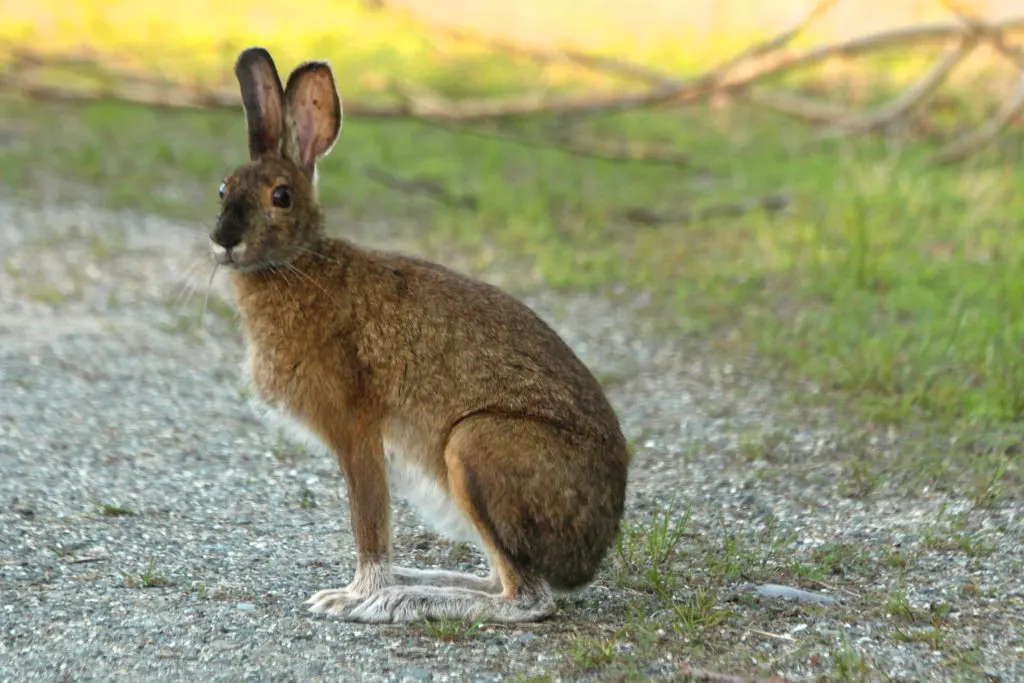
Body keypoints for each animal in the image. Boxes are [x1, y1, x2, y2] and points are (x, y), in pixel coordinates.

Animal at [209, 46, 630, 624]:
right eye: (223, 188)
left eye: (282, 196)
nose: (223, 241)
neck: (299, 264)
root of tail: (591, 553)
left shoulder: (356, 429)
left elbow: (369, 527)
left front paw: (353, 597)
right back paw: (420, 582)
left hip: (476, 447)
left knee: (527, 598)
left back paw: (401, 598)